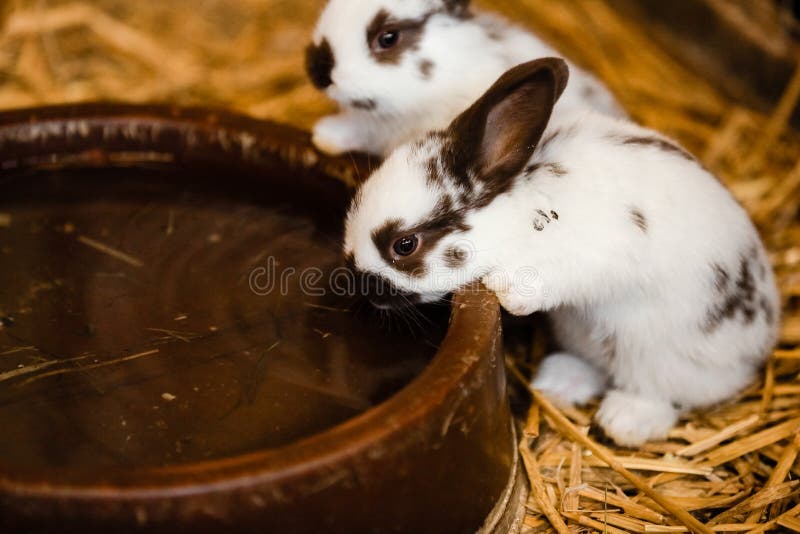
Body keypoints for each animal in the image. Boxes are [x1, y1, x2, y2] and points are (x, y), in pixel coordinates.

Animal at [344, 57, 780, 448]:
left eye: (404, 245)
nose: (361, 285)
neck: (523, 210)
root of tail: (763, 339)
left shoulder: (599, 251)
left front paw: (508, 293)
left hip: (662, 358)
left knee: (663, 394)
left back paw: (624, 420)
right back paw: (558, 380)